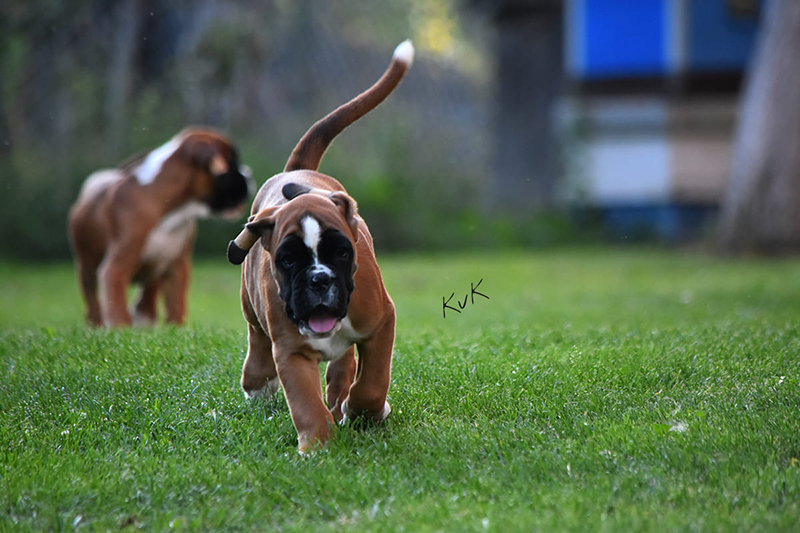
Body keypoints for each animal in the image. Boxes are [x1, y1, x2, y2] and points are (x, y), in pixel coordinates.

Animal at [69, 127, 253, 327]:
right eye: (231, 163)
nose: (249, 175)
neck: (171, 210)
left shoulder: (177, 267)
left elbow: (176, 305)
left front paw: (176, 328)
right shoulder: (116, 267)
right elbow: (116, 305)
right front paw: (120, 327)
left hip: (154, 269)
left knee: (147, 296)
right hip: (86, 267)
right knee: (92, 301)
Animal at [226, 40, 414, 453]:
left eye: (342, 253)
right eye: (288, 260)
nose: (319, 280)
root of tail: (296, 172)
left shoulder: (382, 323)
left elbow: (373, 382)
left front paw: (362, 411)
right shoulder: (291, 352)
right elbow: (305, 401)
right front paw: (318, 448)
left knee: (345, 364)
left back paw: (342, 395)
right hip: (251, 308)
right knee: (256, 340)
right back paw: (258, 382)